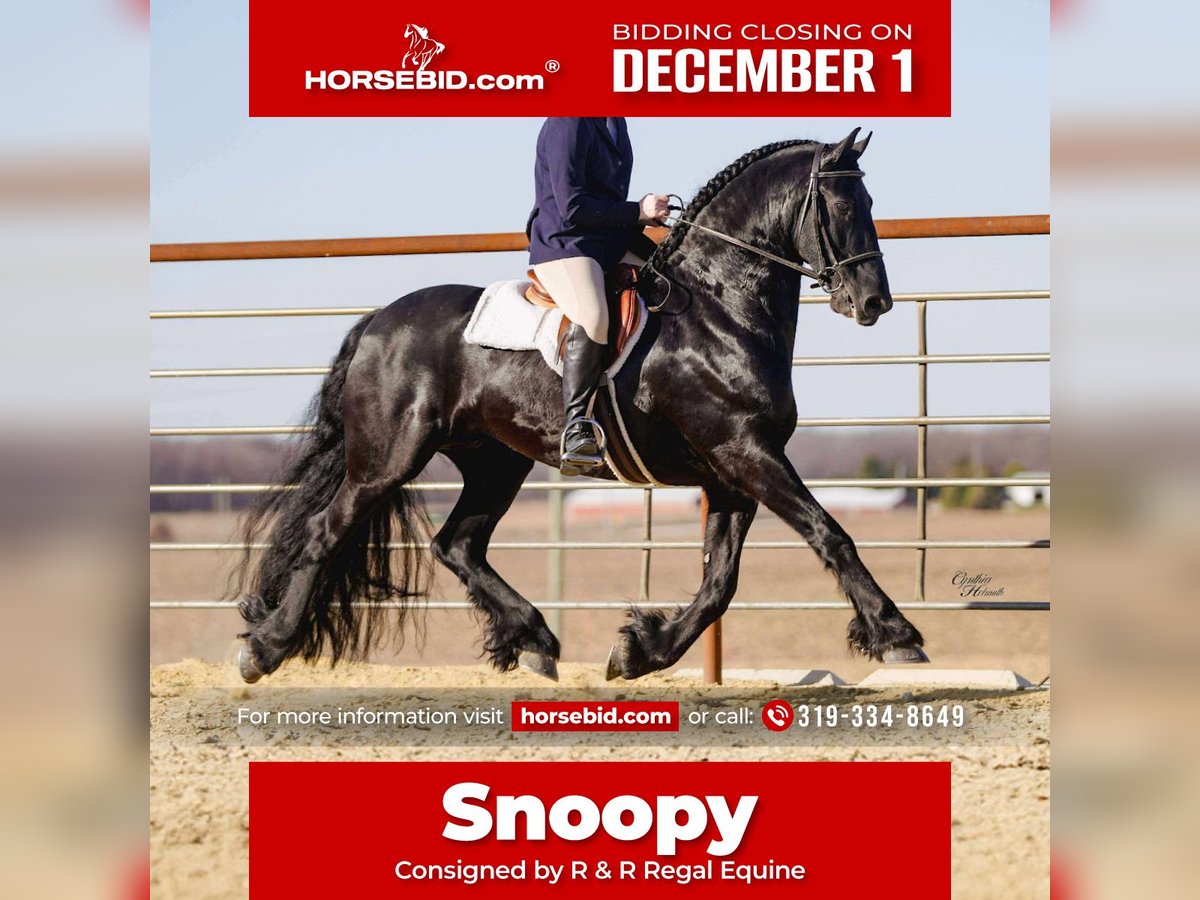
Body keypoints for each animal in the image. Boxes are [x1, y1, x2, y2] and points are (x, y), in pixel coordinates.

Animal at [232, 127, 929, 684]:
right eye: (843, 204)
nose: (875, 301)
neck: (719, 308)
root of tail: (378, 320)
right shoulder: (745, 452)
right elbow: (829, 534)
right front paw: (897, 635)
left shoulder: (730, 471)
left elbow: (720, 582)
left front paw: (641, 651)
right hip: (388, 458)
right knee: (327, 532)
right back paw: (266, 648)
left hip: (495, 461)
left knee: (458, 545)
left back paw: (534, 641)